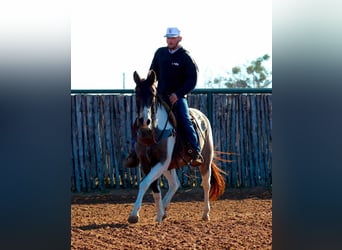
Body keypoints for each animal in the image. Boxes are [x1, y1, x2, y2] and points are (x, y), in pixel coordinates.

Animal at [127, 70, 226, 223]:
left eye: (153, 93)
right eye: (137, 93)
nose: (144, 120)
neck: (152, 131)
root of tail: (202, 116)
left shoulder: (162, 161)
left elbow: (145, 183)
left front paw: (134, 215)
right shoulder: (147, 162)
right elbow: (153, 187)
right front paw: (158, 214)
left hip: (205, 159)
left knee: (206, 184)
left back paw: (205, 213)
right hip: (170, 165)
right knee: (175, 184)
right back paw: (164, 211)